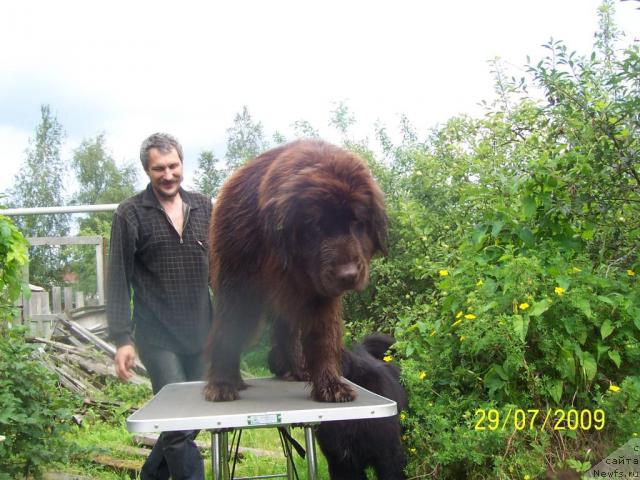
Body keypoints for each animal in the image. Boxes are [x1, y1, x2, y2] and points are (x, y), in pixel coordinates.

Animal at [204, 139, 384, 402]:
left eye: (357, 222)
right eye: (317, 225)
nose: (348, 275)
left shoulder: (320, 294)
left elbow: (323, 337)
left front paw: (330, 385)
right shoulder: (238, 287)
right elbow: (228, 331)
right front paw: (222, 383)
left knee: (287, 332)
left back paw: (296, 369)